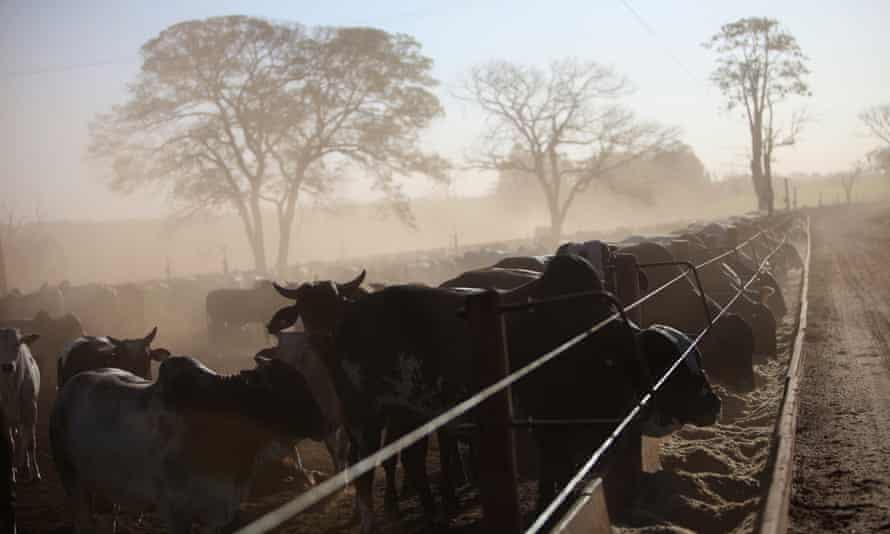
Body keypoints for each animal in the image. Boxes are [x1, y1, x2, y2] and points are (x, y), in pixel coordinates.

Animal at [0, 328, 41, 484]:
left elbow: (31, 443)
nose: (7, 366)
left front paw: (35, 473)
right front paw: (12, 473)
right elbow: (10, 443)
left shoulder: (31, 412)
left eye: (17, 344)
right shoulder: (5, 418)